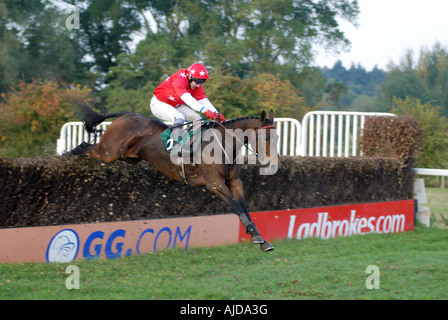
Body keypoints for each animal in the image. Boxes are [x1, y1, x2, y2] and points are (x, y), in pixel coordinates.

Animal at [68, 104, 278, 250]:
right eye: (266, 137)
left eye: (277, 137)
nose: (273, 162)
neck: (222, 144)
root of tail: (126, 115)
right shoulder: (215, 184)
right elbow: (237, 208)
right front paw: (256, 237)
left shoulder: (234, 182)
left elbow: (244, 209)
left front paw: (261, 240)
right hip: (110, 151)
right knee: (84, 146)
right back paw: (67, 157)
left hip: (128, 157)